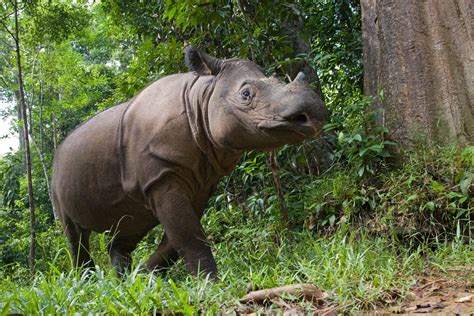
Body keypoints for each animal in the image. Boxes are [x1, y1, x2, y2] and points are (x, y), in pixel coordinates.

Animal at [51, 46, 326, 276]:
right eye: (246, 94)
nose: (313, 113)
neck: (203, 98)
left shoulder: (201, 179)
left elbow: (178, 238)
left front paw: (146, 276)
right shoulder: (161, 176)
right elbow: (188, 234)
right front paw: (210, 283)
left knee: (131, 223)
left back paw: (123, 279)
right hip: (56, 178)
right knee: (74, 234)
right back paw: (87, 280)